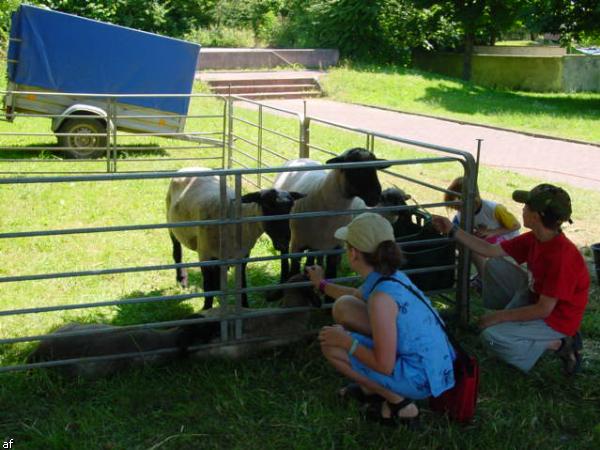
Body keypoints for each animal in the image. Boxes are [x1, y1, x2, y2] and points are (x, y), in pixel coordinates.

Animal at [274, 148, 386, 280]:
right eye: (354, 168)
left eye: (375, 168)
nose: (377, 196)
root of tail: (300, 159)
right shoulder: (297, 245)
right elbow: (294, 273)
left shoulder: (335, 247)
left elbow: (331, 274)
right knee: (284, 253)